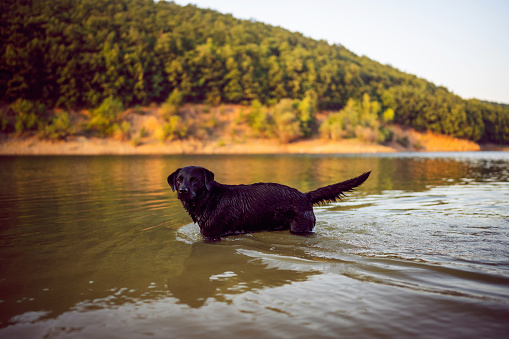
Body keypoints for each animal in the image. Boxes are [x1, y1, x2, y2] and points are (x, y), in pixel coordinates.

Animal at [169, 166, 372, 240]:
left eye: (195, 180)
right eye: (179, 180)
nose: (182, 191)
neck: (209, 199)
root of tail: (305, 195)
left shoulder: (211, 235)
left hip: (301, 228)